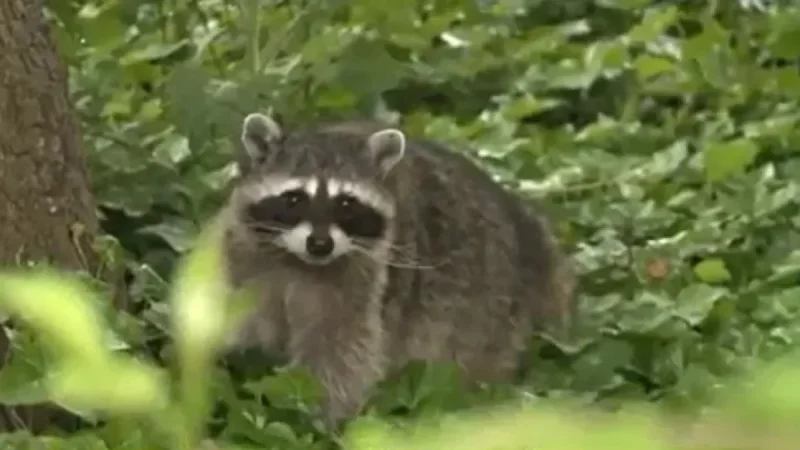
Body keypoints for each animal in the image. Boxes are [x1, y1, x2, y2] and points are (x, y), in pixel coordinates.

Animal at [218, 111, 575, 425]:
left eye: (346, 203)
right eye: (294, 199)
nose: (320, 244)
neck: (299, 261)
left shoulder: (363, 280)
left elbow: (341, 354)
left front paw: (315, 416)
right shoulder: (241, 259)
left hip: (492, 310)